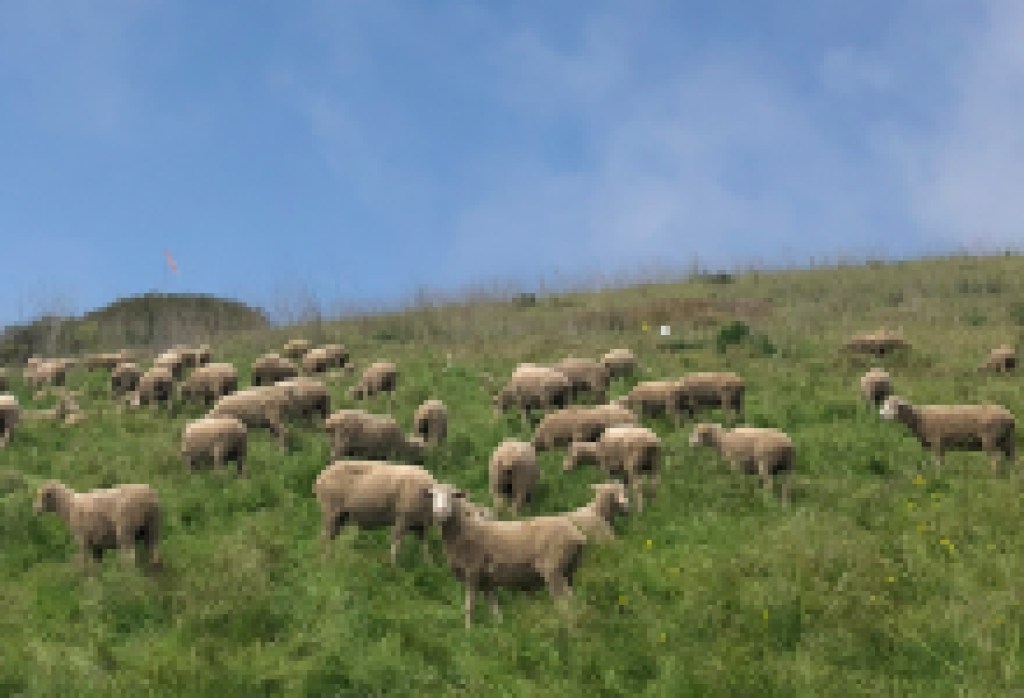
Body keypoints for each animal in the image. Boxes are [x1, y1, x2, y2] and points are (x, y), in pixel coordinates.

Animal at [33, 480, 162, 574]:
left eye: (42, 495)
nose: (35, 509)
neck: (69, 506)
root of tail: (147, 497)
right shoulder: (97, 544)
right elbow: (97, 565)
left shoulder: (82, 540)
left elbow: (84, 561)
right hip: (152, 527)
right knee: (154, 552)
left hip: (126, 529)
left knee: (130, 557)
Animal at [427, 482, 587, 628]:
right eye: (433, 496)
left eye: (453, 495)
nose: (439, 512)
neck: (465, 529)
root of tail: (576, 534)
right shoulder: (487, 579)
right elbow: (494, 606)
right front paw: (498, 628)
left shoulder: (472, 572)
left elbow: (469, 606)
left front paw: (468, 632)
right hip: (568, 570)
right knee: (573, 598)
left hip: (553, 569)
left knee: (564, 601)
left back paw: (567, 628)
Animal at [880, 395, 1017, 473]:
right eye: (884, 404)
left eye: (894, 405)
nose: (882, 415)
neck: (919, 417)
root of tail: (1009, 416)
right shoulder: (941, 444)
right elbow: (941, 462)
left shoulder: (936, 441)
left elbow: (937, 462)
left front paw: (937, 476)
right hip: (1008, 440)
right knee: (1011, 458)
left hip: (990, 438)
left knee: (996, 459)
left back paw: (993, 476)